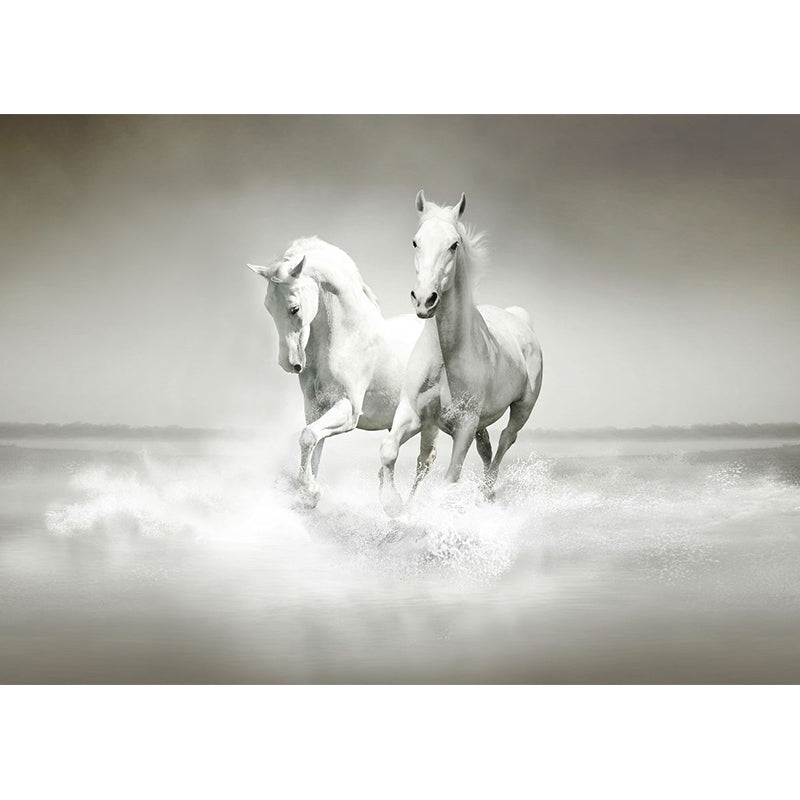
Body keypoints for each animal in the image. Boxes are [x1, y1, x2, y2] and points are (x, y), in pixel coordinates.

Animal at [248, 236, 425, 506]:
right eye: (268, 307)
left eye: (294, 308)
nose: (288, 363)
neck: (348, 337)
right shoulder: (315, 408)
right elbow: (313, 443)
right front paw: (308, 493)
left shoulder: (348, 409)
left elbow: (308, 436)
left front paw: (310, 490)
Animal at [378, 192, 543, 517]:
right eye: (415, 241)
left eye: (454, 244)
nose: (424, 299)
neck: (446, 355)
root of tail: (519, 318)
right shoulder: (413, 412)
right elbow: (390, 450)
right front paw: (393, 504)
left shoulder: (464, 424)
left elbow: (450, 476)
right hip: (477, 423)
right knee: (483, 448)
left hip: (522, 407)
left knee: (506, 439)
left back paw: (487, 492)